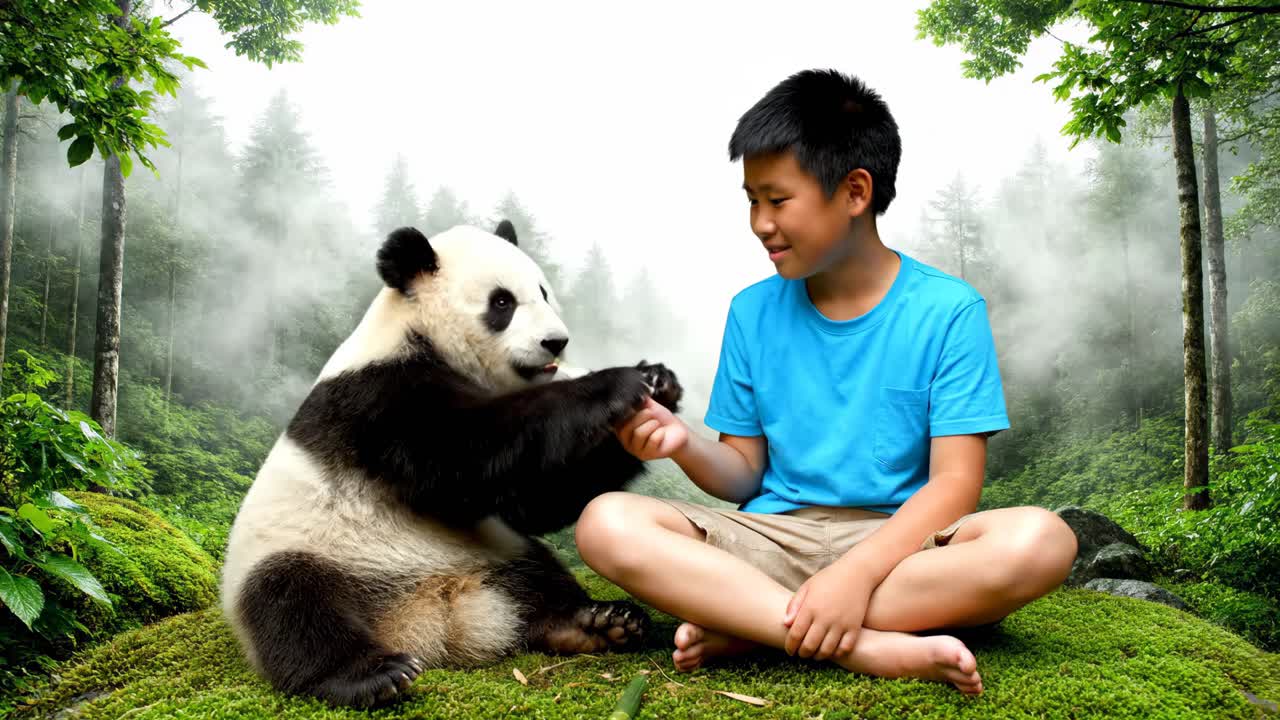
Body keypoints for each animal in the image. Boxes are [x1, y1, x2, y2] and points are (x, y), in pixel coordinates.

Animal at [220, 221, 683, 708]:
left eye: (543, 292)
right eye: (502, 302)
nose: (556, 342)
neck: (415, 332)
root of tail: (429, 621)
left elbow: (531, 502)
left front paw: (659, 382)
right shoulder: (378, 398)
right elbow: (467, 454)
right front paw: (619, 382)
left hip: (493, 551)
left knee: (537, 572)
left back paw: (595, 624)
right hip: (302, 549)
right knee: (293, 604)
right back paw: (372, 675)